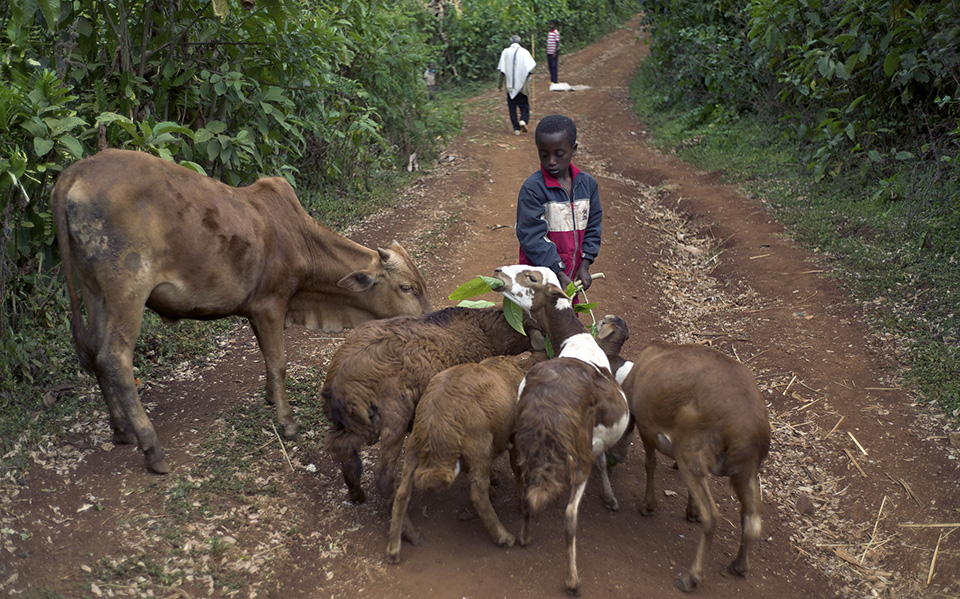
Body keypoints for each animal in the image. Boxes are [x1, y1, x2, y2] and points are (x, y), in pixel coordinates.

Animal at [48, 149, 432, 474]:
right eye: (406, 287)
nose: (429, 319)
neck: (298, 238)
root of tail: (77, 170)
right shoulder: (271, 305)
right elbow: (278, 362)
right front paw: (288, 422)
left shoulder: (256, 310)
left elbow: (266, 356)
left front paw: (269, 398)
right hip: (127, 291)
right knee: (115, 359)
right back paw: (152, 449)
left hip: (94, 292)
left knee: (96, 354)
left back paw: (120, 431)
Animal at [322, 308, 544, 504]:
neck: (483, 330)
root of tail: (341, 382)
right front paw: (492, 480)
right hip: (394, 417)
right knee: (383, 474)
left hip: (349, 426)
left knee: (344, 453)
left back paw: (356, 495)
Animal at [386, 356, 528, 564]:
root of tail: (436, 423)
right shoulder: (515, 434)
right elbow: (517, 469)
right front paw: (519, 501)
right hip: (479, 443)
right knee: (477, 495)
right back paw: (504, 536)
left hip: (414, 447)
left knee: (402, 493)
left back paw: (394, 550)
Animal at [496, 266, 632, 596]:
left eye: (532, 278)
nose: (498, 273)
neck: (574, 338)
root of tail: (549, 413)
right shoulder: (595, 444)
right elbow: (603, 463)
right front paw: (610, 498)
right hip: (577, 460)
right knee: (570, 515)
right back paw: (572, 580)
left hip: (524, 450)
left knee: (526, 495)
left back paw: (524, 537)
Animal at [624, 340, 772, 592]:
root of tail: (746, 428)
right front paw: (690, 510)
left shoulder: (646, 428)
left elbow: (650, 463)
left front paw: (647, 506)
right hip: (746, 469)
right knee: (752, 518)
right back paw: (739, 566)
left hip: (689, 447)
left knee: (712, 516)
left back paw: (691, 577)